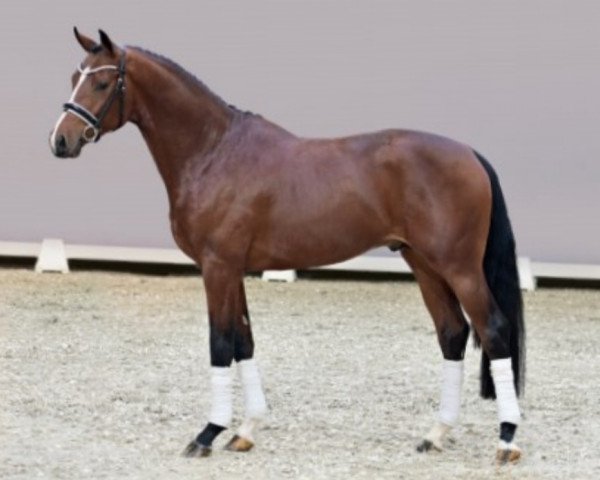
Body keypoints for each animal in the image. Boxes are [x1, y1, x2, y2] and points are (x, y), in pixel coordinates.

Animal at [49, 30, 524, 464]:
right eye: (75, 76)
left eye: (102, 82)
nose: (60, 140)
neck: (214, 150)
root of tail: (470, 154)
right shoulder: (232, 269)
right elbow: (244, 341)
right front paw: (245, 430)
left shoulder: (217, 267)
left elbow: (220, 343)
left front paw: (208, 433)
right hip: (424, 264)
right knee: (453, 333)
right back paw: (437, 434)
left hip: (459, 268)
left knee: (494, 331)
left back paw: (507, 439)